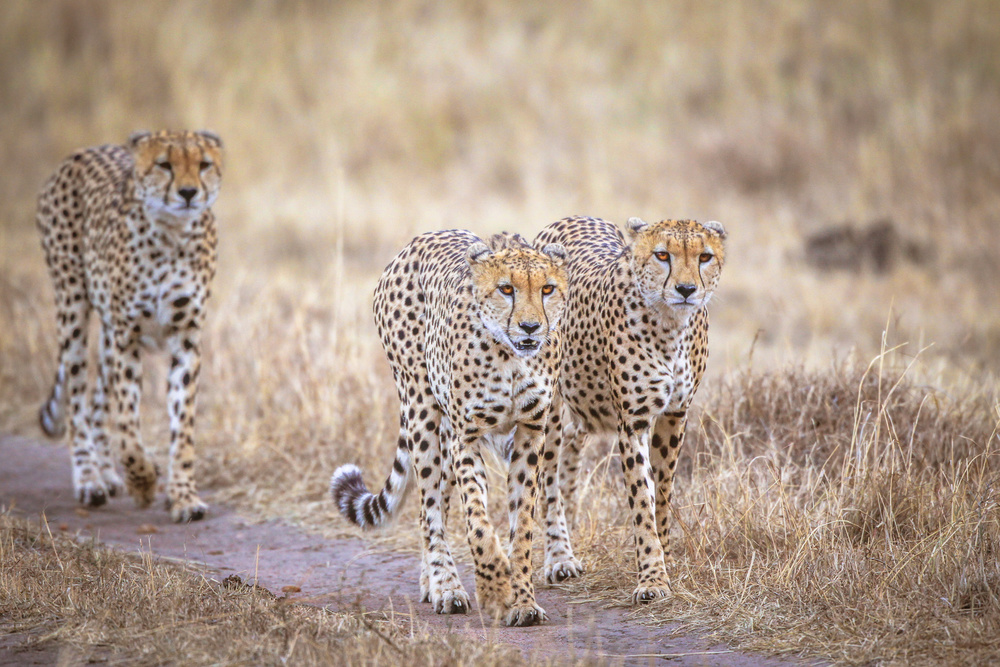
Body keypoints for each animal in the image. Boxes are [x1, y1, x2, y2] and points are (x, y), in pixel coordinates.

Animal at [36, 130, 224, 524]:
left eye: (203, 164)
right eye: (164, 164)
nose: (188, 193)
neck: (171, 234)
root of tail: (82, 151)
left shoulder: (186, 338)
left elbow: (182, 426)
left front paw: (184, 497)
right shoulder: (128, 337)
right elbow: (126, 424)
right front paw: (144, 482)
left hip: (107, 333)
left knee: (96, 401)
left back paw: (107, 473)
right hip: (73, 308)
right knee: (77, 399)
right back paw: (90, 479)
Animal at [332, 231, 568, 628]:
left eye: (547, 289)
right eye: (506, 289)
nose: (531, 327)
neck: (510, 358)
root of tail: (419, 239)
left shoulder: (529, 435)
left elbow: (522, 526)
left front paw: (523, 601)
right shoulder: (466, 438)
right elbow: (477, 522)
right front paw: (494, 588)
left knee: (437, 503)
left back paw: (431, 583)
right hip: (422, 412)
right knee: (429, 511)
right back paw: (446, 588)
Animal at [532, 217, 728, 604]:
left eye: (705, 256)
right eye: (662, 255)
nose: (686, 289)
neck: (670, 326)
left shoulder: (675, 415)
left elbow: (662, 493)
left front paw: (664, 558)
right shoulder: (633, 422)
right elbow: (641, 498)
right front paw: (652, 578)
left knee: (573, 444)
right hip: (551, 408)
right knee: (548, 476)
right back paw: (560, 557)